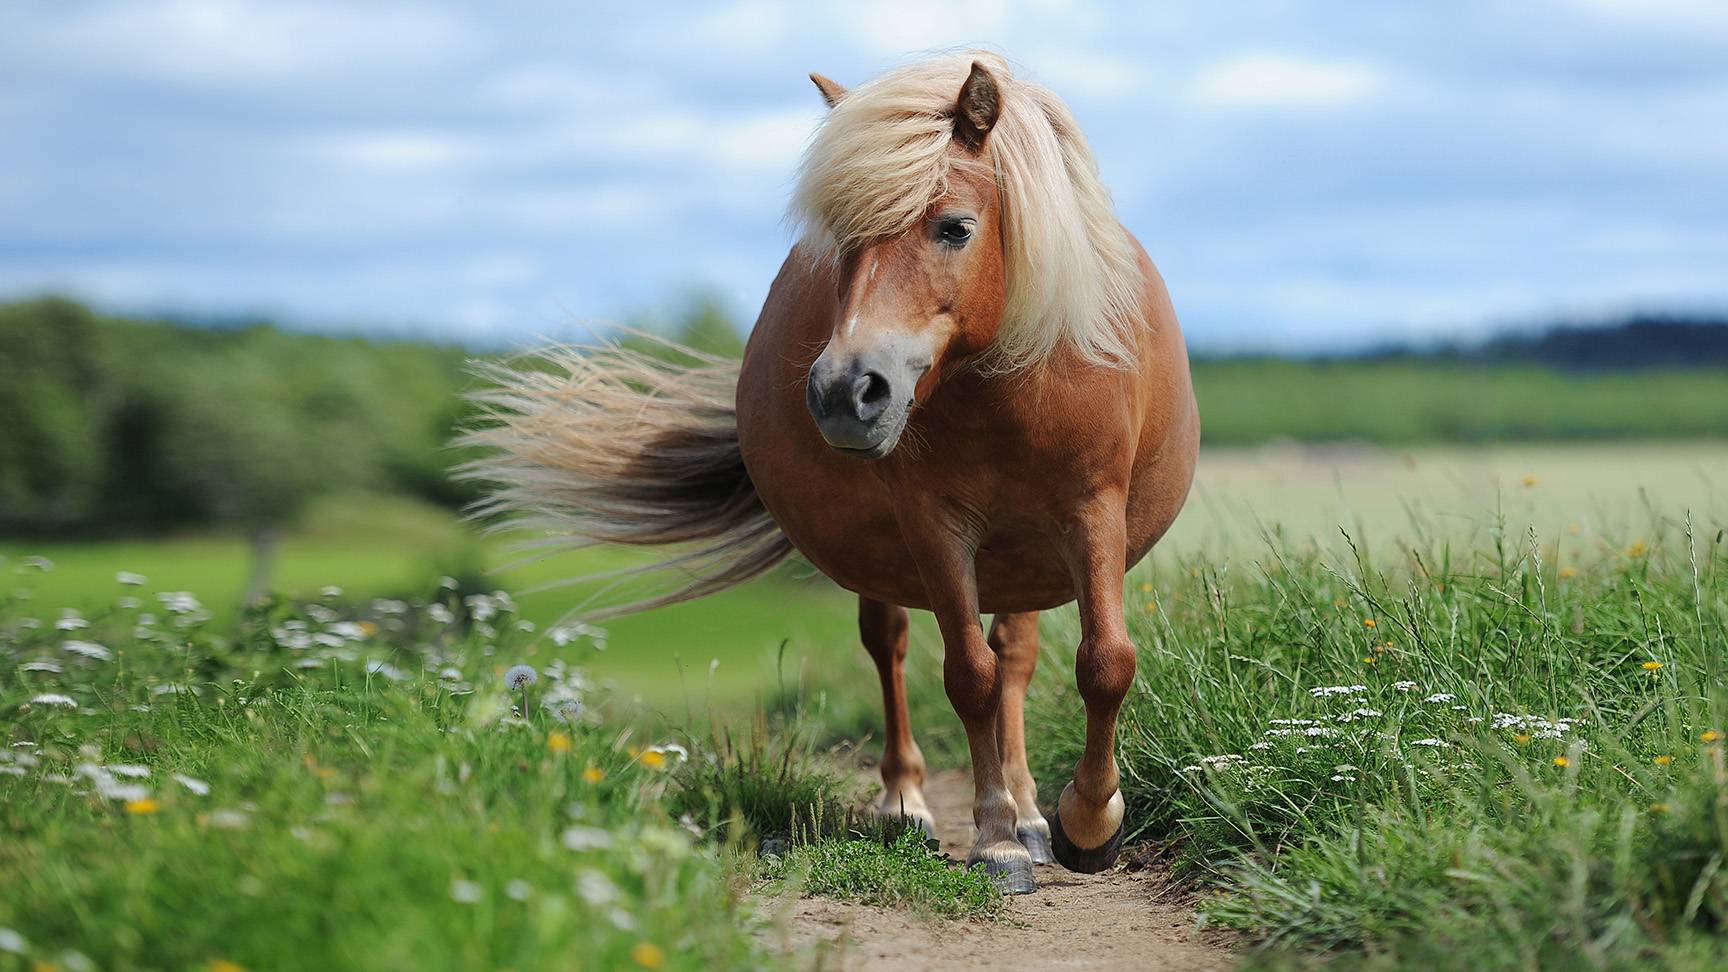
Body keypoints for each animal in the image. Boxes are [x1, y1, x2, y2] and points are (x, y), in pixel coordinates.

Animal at [465, 51, 1199, 894]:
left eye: (955, 227)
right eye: (842, 241)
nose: (847, 392)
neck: (1009, 386)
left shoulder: (1091, 512)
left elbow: (1104, 663)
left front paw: (1086, 824)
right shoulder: (935, 527)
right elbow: (969, 676)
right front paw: (995, 841)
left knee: (1016, 656)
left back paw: (1032, 815)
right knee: (894, 648)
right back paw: (911, 806)